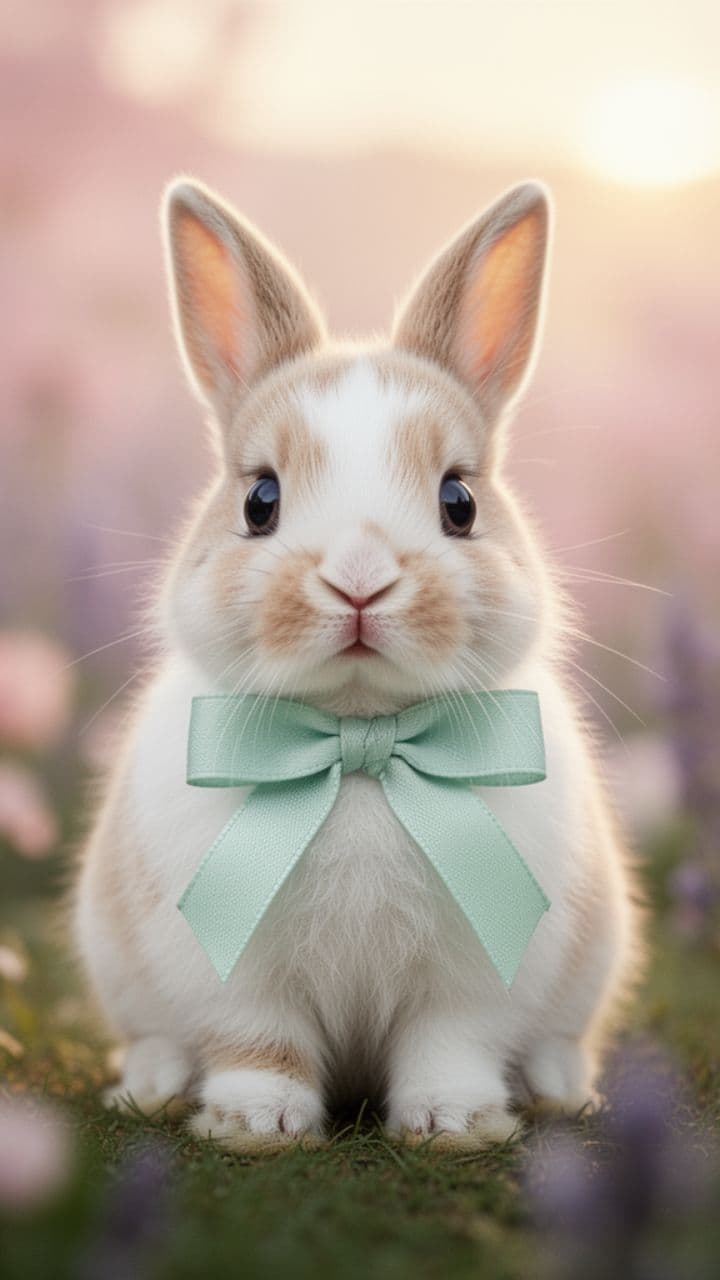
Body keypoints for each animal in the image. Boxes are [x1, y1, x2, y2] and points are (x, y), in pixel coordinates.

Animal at [73, 177, 641, 1151]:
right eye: (260, 500)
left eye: (460, 501)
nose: (361, 578)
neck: (361, 743)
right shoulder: (237, 970)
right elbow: (259, 1042)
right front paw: (257, 1125)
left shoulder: (471, 977)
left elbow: (450, 1044)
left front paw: (454, 1124)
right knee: (156, 1037)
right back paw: (149, 1085)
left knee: (556, 1042)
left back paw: (564, 1089)